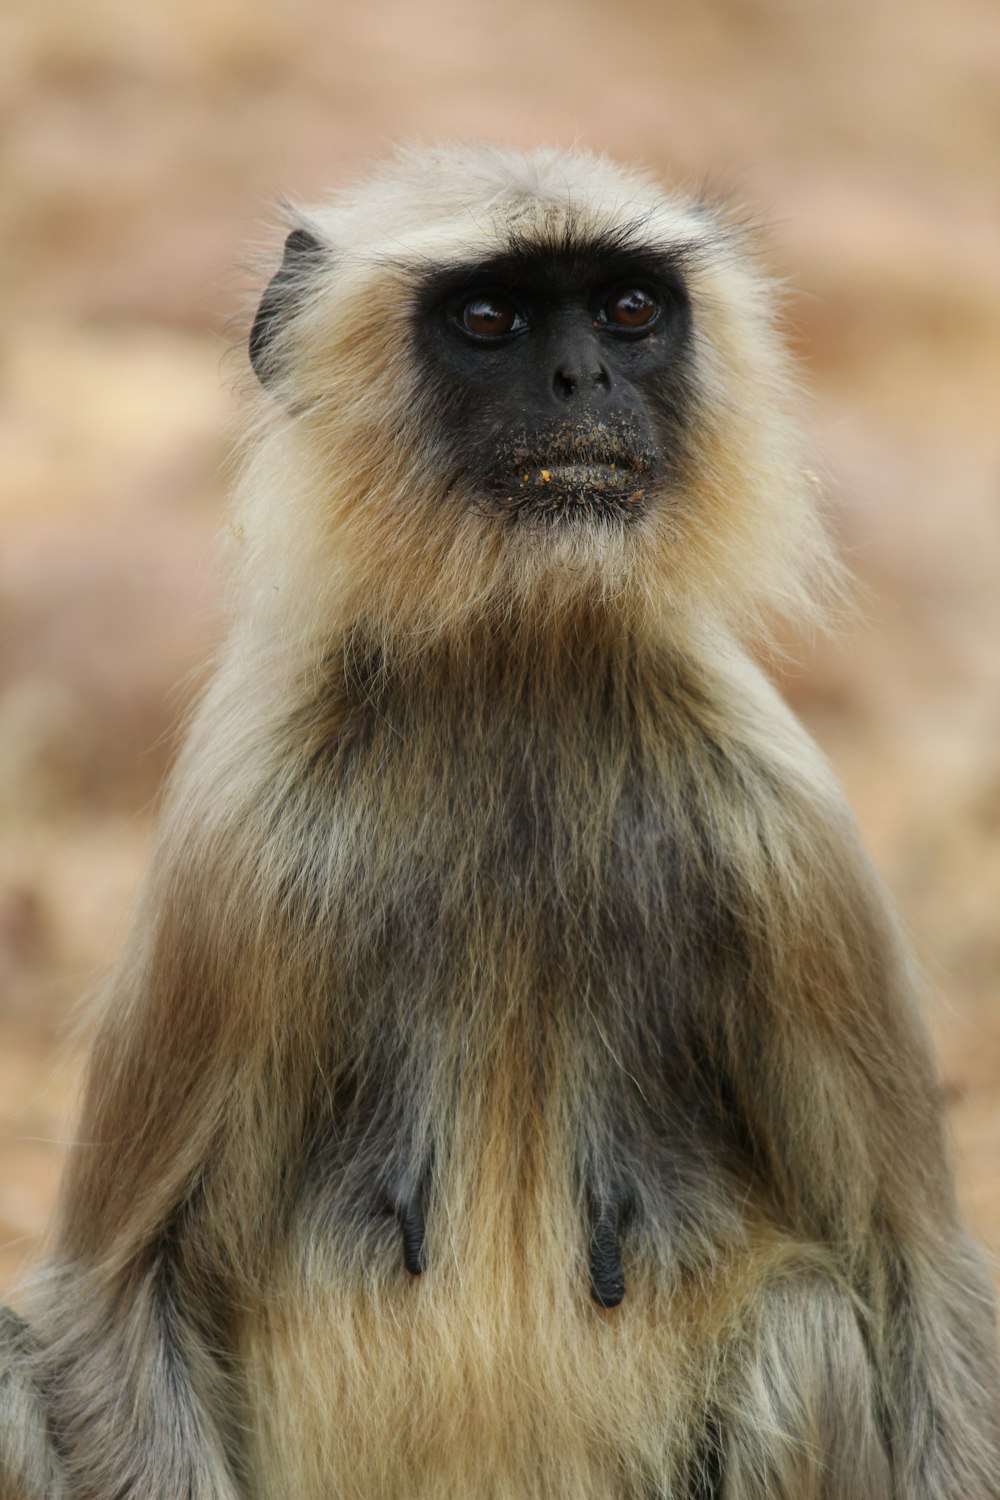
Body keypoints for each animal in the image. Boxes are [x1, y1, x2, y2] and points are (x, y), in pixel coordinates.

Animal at [1, 143, 1000, 1500]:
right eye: (489, 319)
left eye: (626, 310)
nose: (582, 380)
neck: (516, 667)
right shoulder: (239, 837)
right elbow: (114, 1297)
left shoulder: (784, 820)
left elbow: (917, 1280)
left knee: (803, 1326)